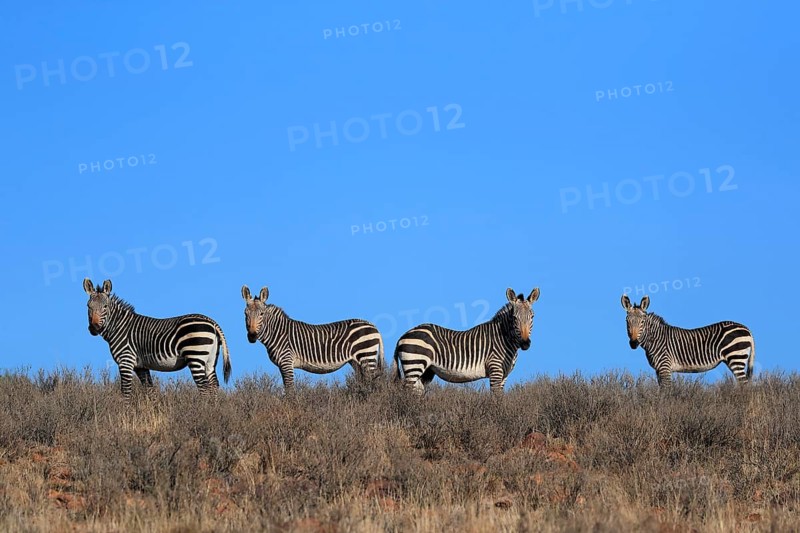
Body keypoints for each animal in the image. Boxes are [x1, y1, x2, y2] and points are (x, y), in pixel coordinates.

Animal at [83, 278, 231, 399]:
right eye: (88, 307)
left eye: (105, 307)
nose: (94, 328)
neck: (119, 326)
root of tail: (212, 322)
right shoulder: (141, 366)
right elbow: (150, 390)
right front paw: (152, 410)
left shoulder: (126, 360)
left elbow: (126, 391)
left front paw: (125, 412)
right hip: (210, 359)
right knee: (214, 385)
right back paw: (213, 410)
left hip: (195, 355)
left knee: (204, 387)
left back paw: (202, 410)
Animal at [241, 285, 384, 393]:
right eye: (245, 314)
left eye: (261, 314)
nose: (252, 336)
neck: (277, 332)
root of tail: (374, 326)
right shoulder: (282, 365)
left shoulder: (287, 361)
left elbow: (290, 390)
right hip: (356, 361)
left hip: (366, 355)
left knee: (374, 382)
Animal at [393, 287, 540, 395]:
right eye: (514, 318)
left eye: (532, 317)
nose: (525, 344)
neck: (504, 339)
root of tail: (403, 336)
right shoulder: (495, 370)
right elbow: (496, 397)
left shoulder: (505, 375)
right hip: (414, 364)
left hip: (426, 371)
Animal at [621, 294, 755, 386]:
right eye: (627, 321)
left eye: (642, 322)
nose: (633, 343)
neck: (656, 339)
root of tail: (747, 329)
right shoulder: (658, 370)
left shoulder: (665, 367)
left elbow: (666, 391)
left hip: (736, 357)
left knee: (744, 384)